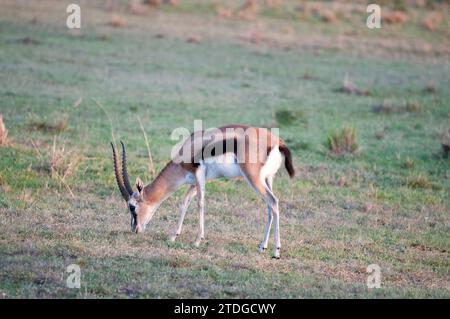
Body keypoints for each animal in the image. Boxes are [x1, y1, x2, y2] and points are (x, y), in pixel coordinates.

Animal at [111, 125, 296, 260]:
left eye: (132, 207)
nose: (134, 229)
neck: (190, 147)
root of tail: (277, 142)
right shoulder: (196, 181)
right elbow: (185, 202)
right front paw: (173, 236)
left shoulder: (199, 174)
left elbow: (200, 203)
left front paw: (197, 241)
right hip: (268, 178)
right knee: (269, 207)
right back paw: (262, 246)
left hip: (253, 178)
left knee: (273, 202)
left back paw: (276, 252)